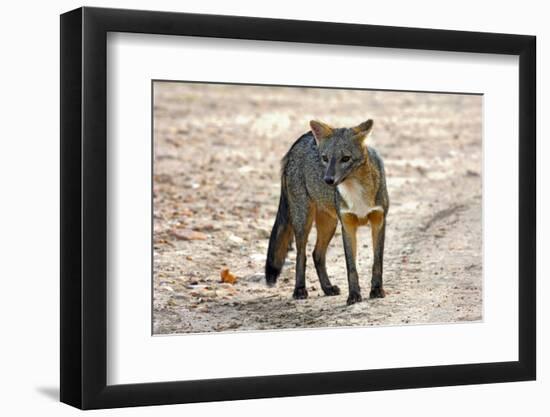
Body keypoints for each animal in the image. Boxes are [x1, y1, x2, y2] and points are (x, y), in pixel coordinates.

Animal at [266, 118, 390, 304]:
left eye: (345, 158)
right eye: (324, 158)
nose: (328, 180)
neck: (356, 192)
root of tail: (302, 138)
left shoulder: (378, 221)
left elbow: (377, 262)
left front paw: (376, 290)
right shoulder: (347, 225)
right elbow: (351, 267)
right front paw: (354, 295)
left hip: (329, 224)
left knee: (317, 254)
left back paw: (327, 288)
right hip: (303, 221)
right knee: (302, 255)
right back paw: (299, 289)